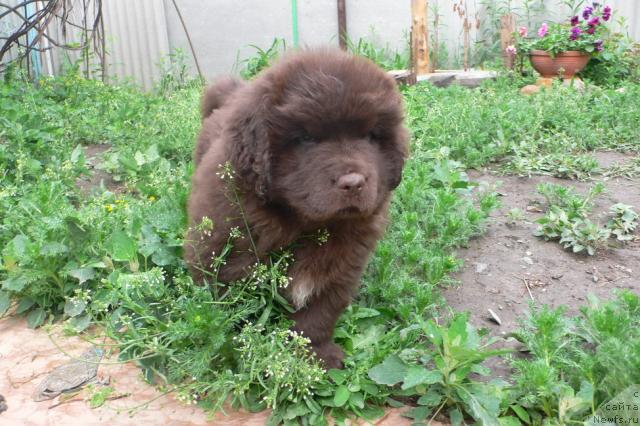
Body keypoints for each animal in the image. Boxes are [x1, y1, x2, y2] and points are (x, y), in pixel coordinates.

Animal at [182, 47, 408, 370]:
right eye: (306, 138)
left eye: (370, 136)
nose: (353, 182)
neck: (306, 225)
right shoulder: (221, 252)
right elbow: (232, 309)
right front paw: (241, 354)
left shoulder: (343, 266)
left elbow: (318, 313)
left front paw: (315, 355)